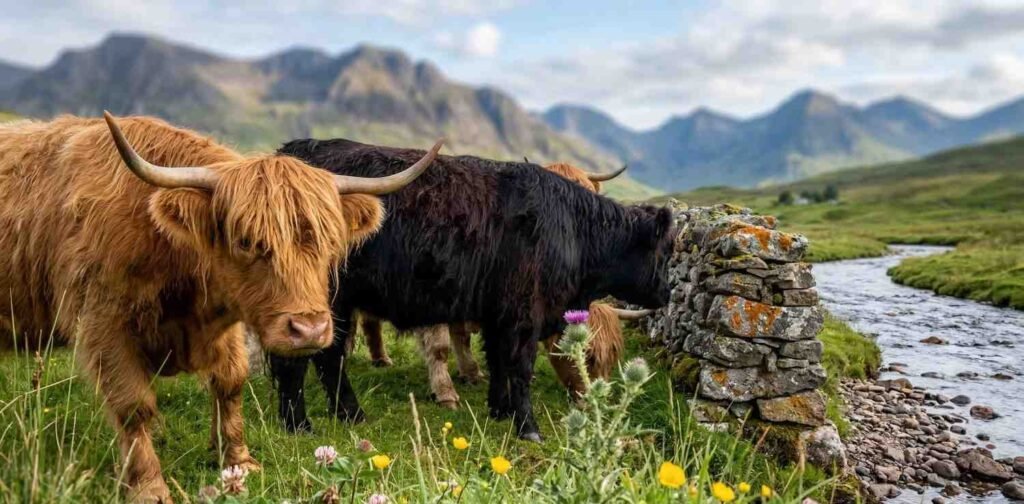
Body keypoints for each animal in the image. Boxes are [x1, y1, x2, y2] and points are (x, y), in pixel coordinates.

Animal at [0, 114, 439, 503]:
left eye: (330, 241)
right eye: (246, 241)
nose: (310, 330)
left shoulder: (225, 325)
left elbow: (230, 383)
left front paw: (238, 462)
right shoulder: (105, 325)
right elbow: (134, 406)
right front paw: (148, 487)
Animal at [355, 162, 647, 404]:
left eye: (612, 357)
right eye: (587, 355)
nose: (597, 400)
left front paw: (473, 373)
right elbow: (440, 346)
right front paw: (446, 392)